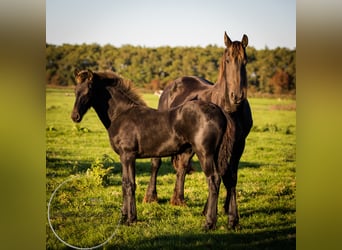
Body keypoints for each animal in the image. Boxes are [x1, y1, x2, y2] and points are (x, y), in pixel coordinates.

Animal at [70, 69, 235, 229]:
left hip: (205, 153)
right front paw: (123, 217)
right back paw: (230, 221)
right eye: (76, 90)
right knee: (226, 179)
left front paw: (131, 219)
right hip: (218, 154)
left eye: (89, 90)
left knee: (213, 179)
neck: (121, 114)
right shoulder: (125, 157)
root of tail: (219, 111)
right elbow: (124, 183)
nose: (75, 116)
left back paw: (209, 223)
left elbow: (130, 184)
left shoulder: (127, 155)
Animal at [143, 32, 252, 229]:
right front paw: (213, 214)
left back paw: (178, 199)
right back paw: (150, 197)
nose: (237, 96)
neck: (230, 111)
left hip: (191, 145)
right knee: (156, 163)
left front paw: (231, 217)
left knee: (183, 165)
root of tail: (172, 85)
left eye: (245, 61)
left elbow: (230, 177)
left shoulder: (238, 146)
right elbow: (219, 176)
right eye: (228, 60)